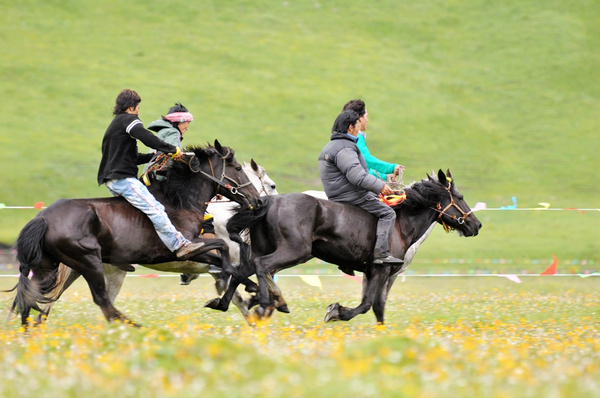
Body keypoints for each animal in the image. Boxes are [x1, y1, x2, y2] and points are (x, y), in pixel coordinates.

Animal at [8, 140, 258, 326]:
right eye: (238, 169)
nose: (256, 200)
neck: (179, 202)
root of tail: (42, 218)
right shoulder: (187, 248)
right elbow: (223, 250)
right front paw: (236, 292)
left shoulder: (195, 252)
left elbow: (225, 262)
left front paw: (247, 289)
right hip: (88, 262)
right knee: (101, 300)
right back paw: (132, 327)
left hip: (49, 266)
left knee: (33, 298)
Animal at [207, 169, 482, 324]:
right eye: (459, 197)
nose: (476, 225)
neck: (400, 223)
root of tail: (268, 201)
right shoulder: (382, 270)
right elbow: (367, 304)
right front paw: (337, 312)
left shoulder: (372, 272)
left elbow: (378, 307)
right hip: (294, 252)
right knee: (262, 267)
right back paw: (267, 302)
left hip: (263, 250)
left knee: (242, 271)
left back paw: (227, 303)